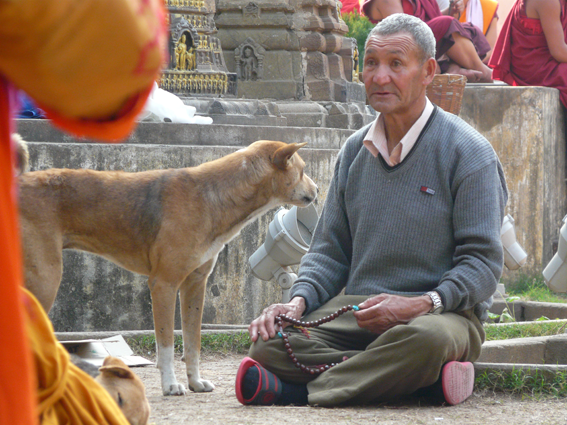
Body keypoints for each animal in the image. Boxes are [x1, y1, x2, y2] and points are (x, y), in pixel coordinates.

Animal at [17, 139, 318, 394]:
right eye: (303, 171)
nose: (317, 190)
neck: (212, 196)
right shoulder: (164, 285)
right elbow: (166, 345)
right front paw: (171, 385)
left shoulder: (195, 286)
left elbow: (193, 342)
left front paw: (195, 382)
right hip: (45, 279)